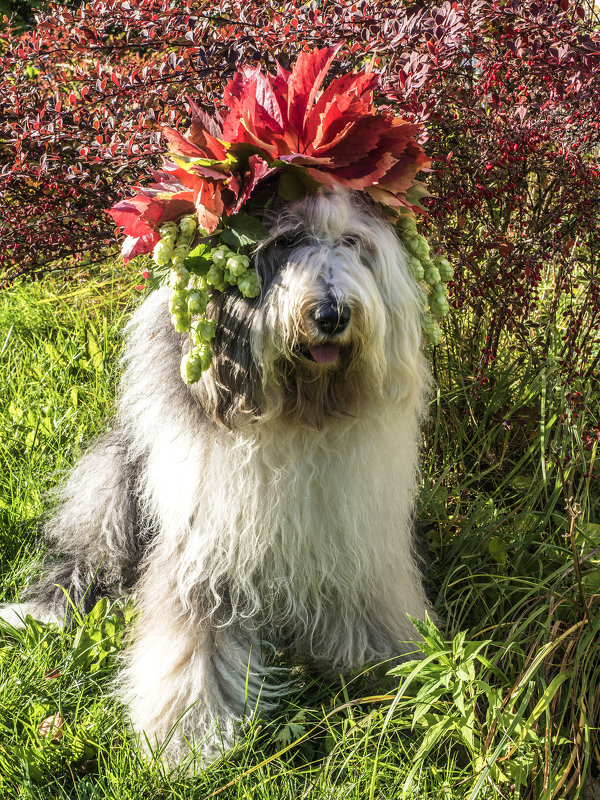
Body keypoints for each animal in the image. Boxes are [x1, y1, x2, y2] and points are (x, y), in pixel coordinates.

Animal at [0, 186, 434, 764]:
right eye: (287, 240)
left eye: (351, 241)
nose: (332, 314)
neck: (297, 408)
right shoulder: (204, 539)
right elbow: (193, 634)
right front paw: (189, 733)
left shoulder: (351, 528)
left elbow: (368, 597)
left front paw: (389, 661)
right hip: (114, 489)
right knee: (83, 563)